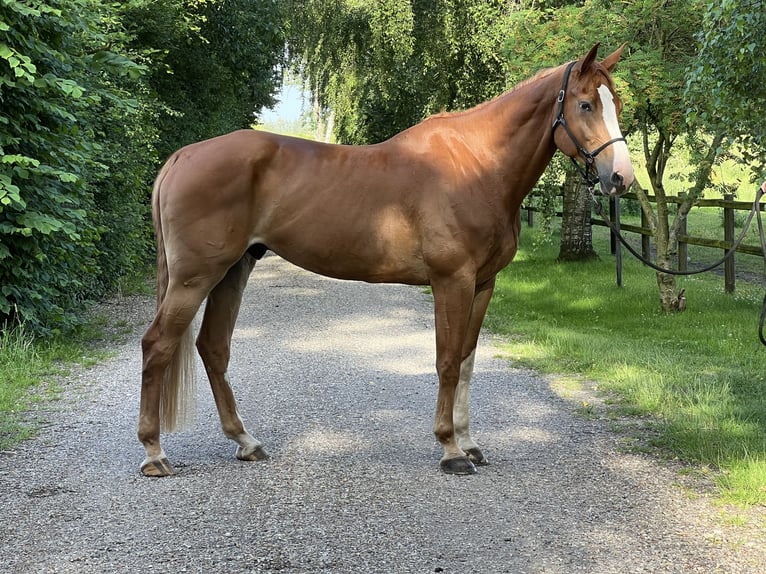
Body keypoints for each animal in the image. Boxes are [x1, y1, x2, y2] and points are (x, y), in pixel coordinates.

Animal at [138, 44, 636, 476]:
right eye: (586, 105)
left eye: (616, 103)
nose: (621, 178)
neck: (476, 167)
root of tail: (184, 156)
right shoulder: (451, 281)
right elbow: (447, 360)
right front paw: (451, 450)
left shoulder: (483, 284)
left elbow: (468, 361)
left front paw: (470, 443)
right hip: (195, 277)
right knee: (158, 345)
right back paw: (154, 453)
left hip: (233, 270)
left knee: (213, 347)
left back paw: (245, 442)